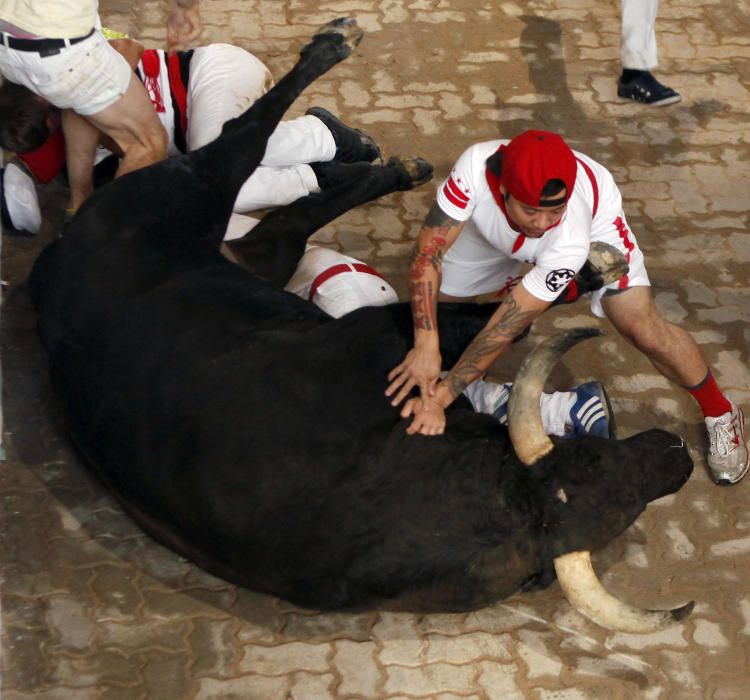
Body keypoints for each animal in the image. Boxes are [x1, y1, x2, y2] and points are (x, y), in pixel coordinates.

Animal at [32, 19, 696, 632]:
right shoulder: (380, 334)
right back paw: (336, 46)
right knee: (239, 139)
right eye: (590, 458)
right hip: (190, 191)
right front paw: (593, 266)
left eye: (623, 512)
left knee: (287, 216)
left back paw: (391, 165)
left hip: (253, 257)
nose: (677, 450)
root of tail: (56, 255)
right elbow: (500, 318)